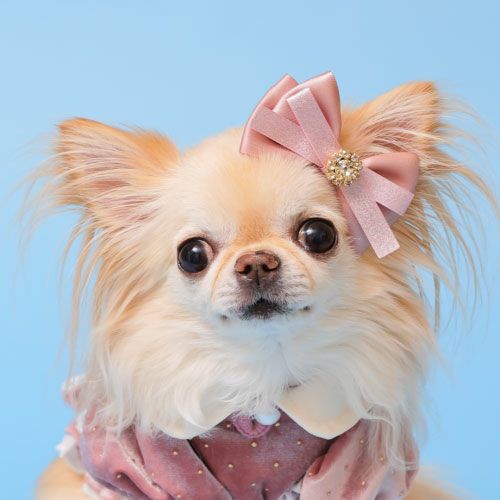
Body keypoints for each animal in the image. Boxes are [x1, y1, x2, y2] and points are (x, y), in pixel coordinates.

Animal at [33, 72, 488, 499]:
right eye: (192, 255)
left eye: (318, 235)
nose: (256, 262)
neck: (262, 380)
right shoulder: (137, 476)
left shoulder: (356, 474)